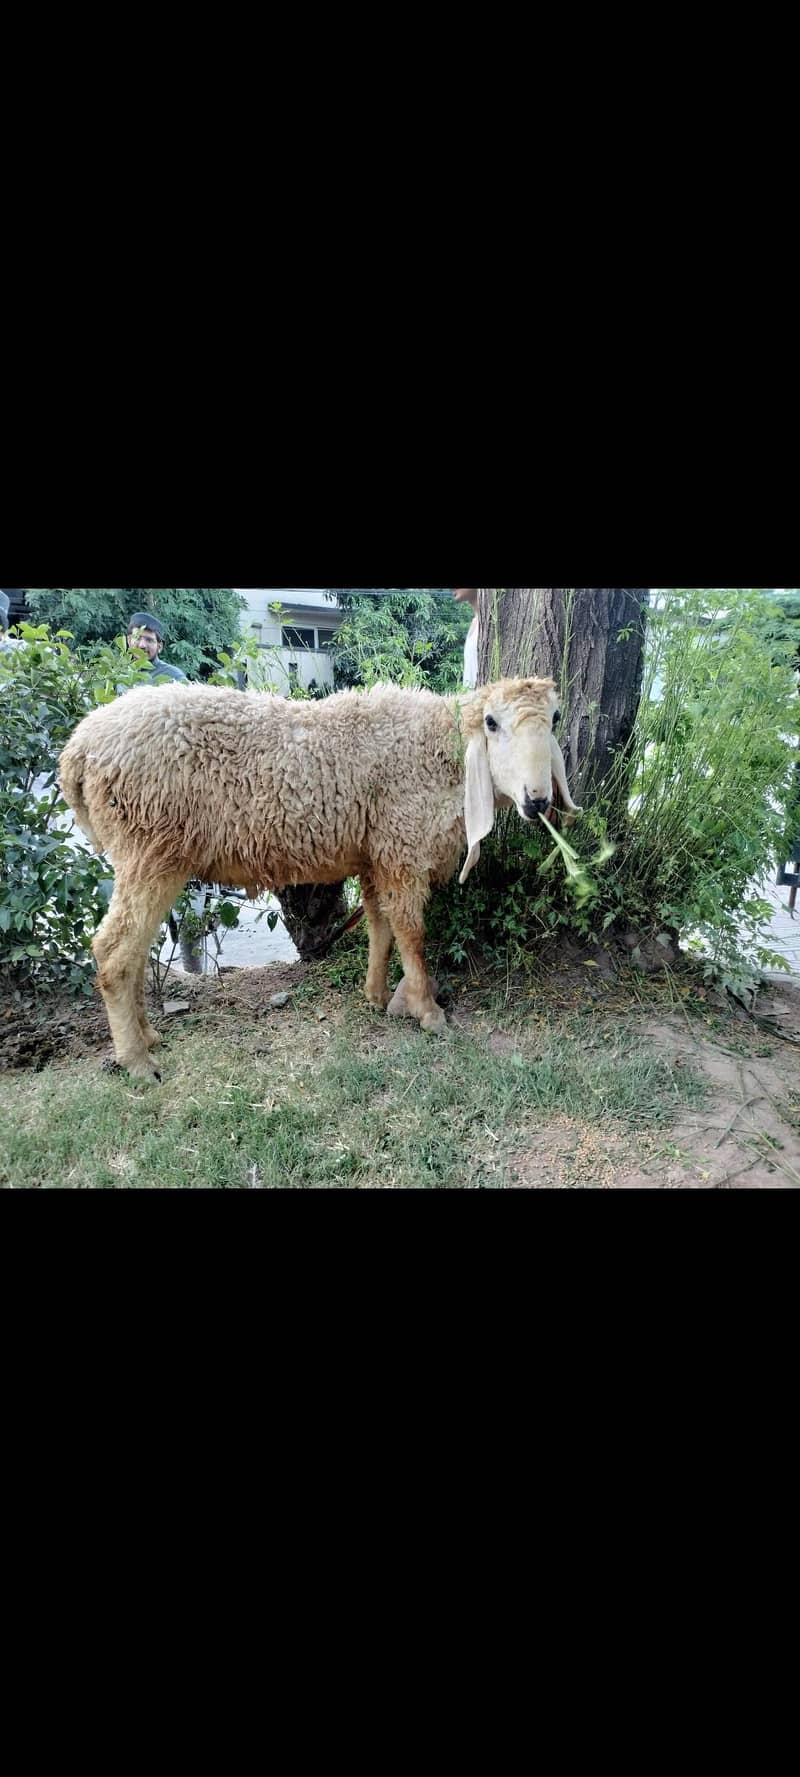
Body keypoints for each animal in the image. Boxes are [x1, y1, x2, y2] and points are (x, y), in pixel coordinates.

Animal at [58, 676, 581, 1080]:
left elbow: (380, 928)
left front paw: (377, 996)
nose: (538, 800)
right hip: (149, 848)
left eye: (555, 720)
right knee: (114, 950)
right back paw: (136, 1060)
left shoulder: (376, 854)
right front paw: (428, 1011)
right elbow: (411, 935)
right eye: (492, 723)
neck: (441, 753)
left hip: (146, 853)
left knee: (135, 949)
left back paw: (146, 1035)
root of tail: (78, 749)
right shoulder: (402, 848)